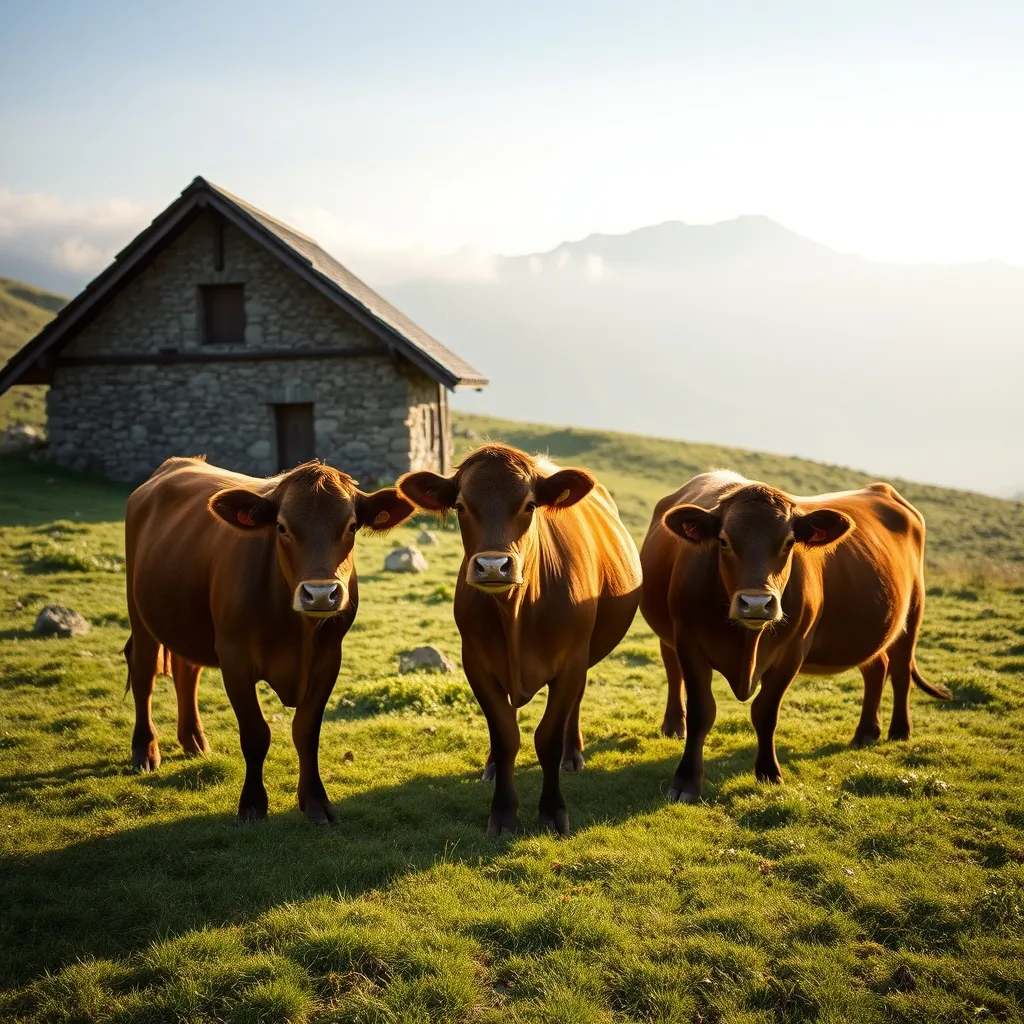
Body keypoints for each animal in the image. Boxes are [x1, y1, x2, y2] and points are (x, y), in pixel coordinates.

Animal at [123, 457, 414, 822]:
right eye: (282, 527)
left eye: (351, 526)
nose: (320, 594)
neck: (296, 632)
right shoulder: (234, 659)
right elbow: (255, 733)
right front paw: (252, 804)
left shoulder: (328, 661)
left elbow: (306, 731)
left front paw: (315, 801)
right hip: (140, 614)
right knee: (143, 675)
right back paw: (145, 750)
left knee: (186, 672)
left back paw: (193, 741)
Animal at [398, 444, 642, 835]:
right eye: (461, 505)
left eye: (529, 505)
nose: (493, 566)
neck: (516, 613)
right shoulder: (477, 663)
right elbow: (505, 736)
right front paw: (503, 812)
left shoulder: (571, 661)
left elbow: (548, 738)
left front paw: (553, 811)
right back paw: (491, 767)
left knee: (576, 702)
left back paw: (573, 755)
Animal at [640, 470, 951, 803]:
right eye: (723, 541)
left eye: (789, 542)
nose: (756, 603)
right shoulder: (688, 642)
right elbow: (702, 712)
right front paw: (686, 781)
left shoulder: (792, 652)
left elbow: (765, 711)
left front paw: (768, 773)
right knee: (877, 667)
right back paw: (866, 731)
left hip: (913, 611)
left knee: (900, 670)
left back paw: (899, 731)